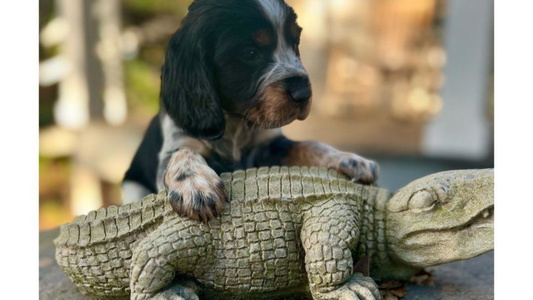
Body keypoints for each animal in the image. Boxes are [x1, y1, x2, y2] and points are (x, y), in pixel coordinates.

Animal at [121, 0, 378, 223]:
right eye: (250, 53)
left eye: (295, 43)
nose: (304, 93)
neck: (235, 122)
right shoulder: (179, 141)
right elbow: (183, 153)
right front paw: (195, 186)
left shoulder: (269, 148)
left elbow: (309, 145)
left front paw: (350, 159)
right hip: (132, 187)